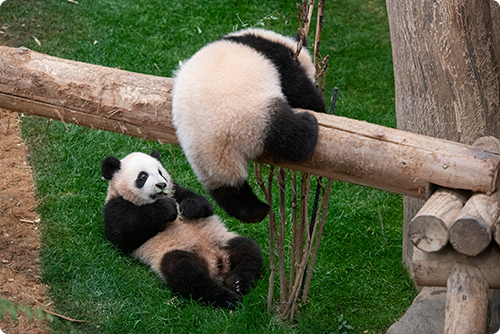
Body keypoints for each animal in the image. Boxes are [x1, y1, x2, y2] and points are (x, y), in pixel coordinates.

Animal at [100, 151, 262, 308]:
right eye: (143, 176)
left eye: (160, 172)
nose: (161, 184)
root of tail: (217, 264)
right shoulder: (115, 206)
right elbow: (123, 235)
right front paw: (167, 208)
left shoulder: (176, 189)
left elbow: (204, 204)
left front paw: (189, 208)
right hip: (175, 252)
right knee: (186, 274)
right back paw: (227, 297)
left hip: (223, 239)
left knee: (247, 250)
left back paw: (238, 283)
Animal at [174, 27, 326, 223]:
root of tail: (218, 141)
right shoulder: (278, 58)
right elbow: (299, 89)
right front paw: (319, 108)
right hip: (257, 115)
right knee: (289, 135)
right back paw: (309, 124)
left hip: (201, 157)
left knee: (227, 189)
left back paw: (254, 211)